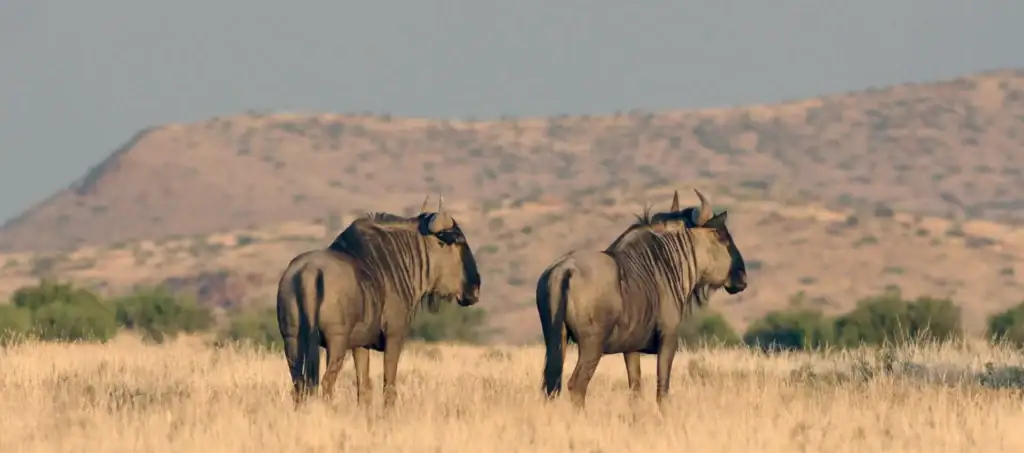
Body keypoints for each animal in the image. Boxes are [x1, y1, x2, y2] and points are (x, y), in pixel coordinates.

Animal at [276, 195, 482, 408]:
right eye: (459, 242)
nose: (475, 289)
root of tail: (308, 272)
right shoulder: (394, 337)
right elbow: (388, 386)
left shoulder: (360, 345)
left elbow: (364, 388)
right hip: (335, 342)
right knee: (326, 382)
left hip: (292, 340)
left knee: (299, 385)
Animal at [535, 188, 747, 410]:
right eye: (720, 235)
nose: (742, 277)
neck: (663, 263)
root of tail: (563, 270)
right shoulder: (668, 340)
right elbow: (662, 388)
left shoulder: (631, 348)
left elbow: (635, 388)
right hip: (591, 346)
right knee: (576, 385)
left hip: (556, 341)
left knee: (551, 386)